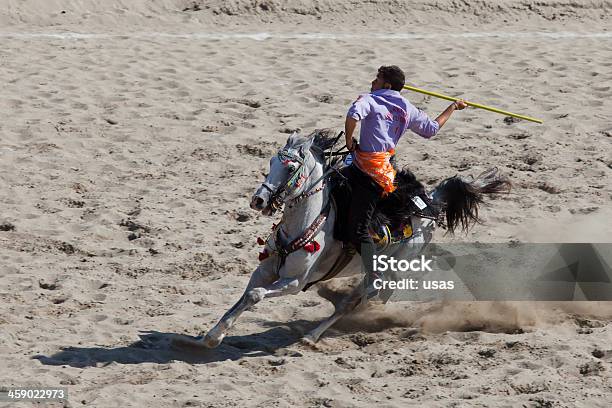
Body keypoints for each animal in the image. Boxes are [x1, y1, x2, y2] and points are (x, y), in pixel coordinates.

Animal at [202, 129, 512, 346]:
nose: (258, 200)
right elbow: (246, 295)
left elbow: (254, 295)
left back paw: (312, 336)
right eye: (269, 162)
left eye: (290, 168)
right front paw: (212, 335)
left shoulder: (294, 282)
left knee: (354, 301)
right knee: (373, 298)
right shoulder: (265, 270)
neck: (305, 223)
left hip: (387, 269)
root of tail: (430, 203)